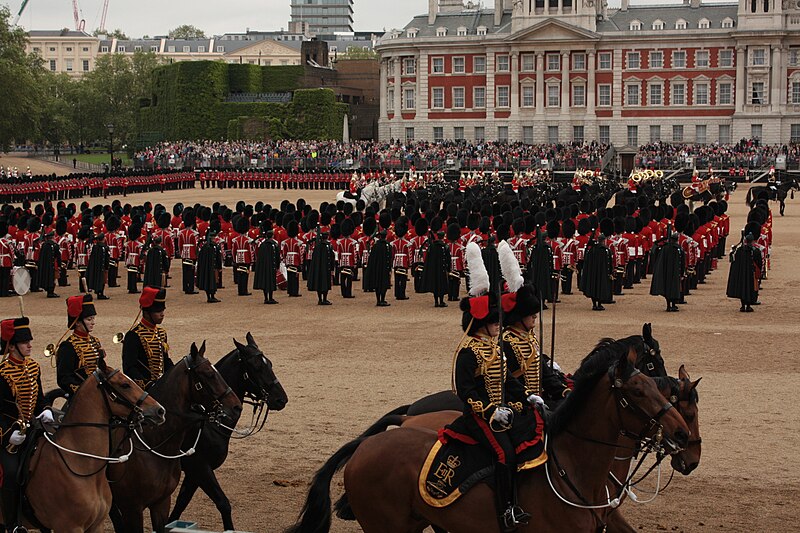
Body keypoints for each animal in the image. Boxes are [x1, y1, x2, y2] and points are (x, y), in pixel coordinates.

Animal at [169, 332, 290, 528]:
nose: (281, 399)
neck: (211, 423)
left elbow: (179, 507)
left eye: (270, 363)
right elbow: (223, 504)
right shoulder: (199, 467)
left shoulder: (194, 475)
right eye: (256, 367)